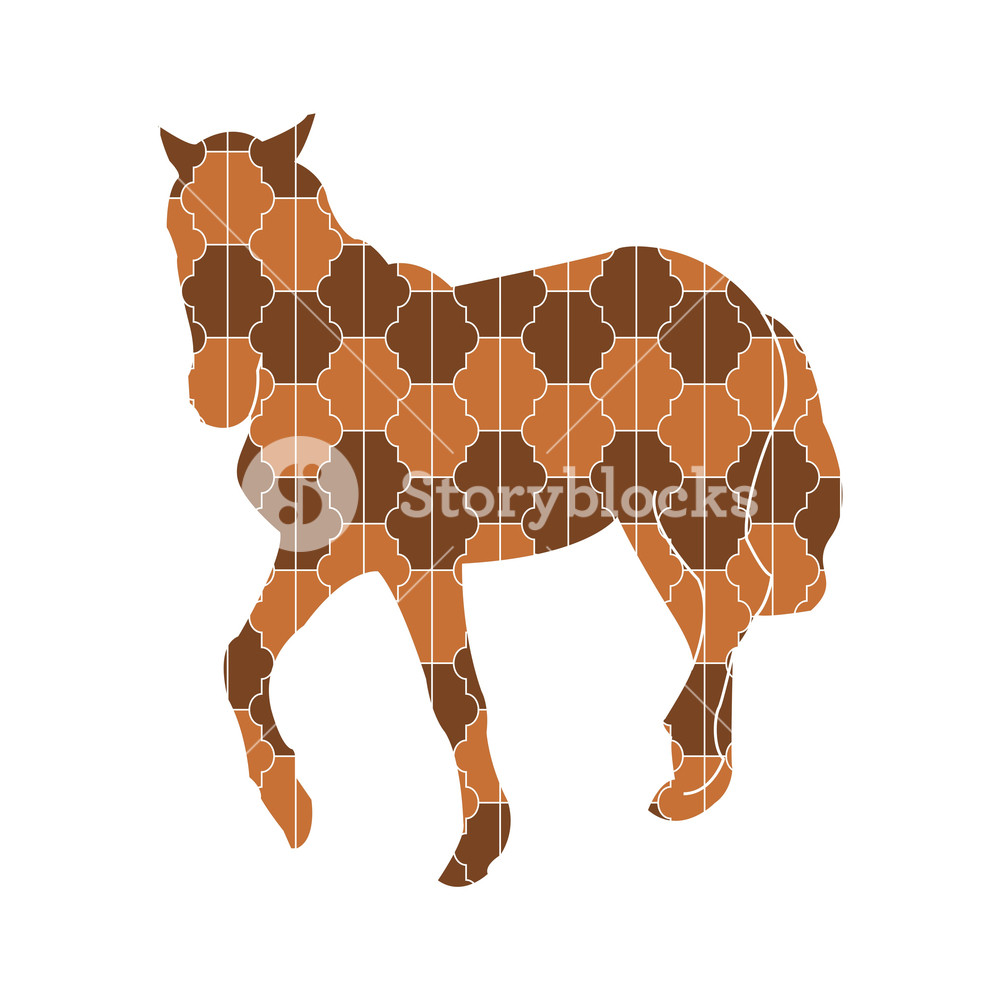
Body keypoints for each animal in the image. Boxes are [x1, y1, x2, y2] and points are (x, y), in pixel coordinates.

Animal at [161, 114, 841, 886]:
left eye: (277, 227)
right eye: (180, 225)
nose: (215, 391)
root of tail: (756, 312)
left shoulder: (425, 556)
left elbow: (454, 700)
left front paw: (478, 846)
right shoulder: (329, 551)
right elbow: (242, 660)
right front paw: (291, 811)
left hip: (697, 506)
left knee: (729, 605)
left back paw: (690, 771)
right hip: (649, 522)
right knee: (711, 612)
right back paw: (695, 780)